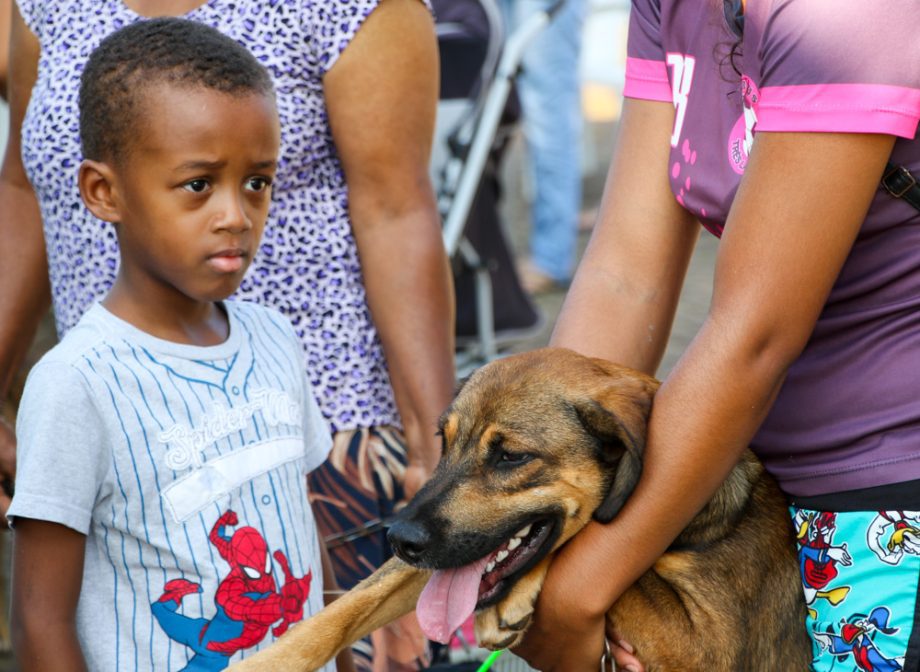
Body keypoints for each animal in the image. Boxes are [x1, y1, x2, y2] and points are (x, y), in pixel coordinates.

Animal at [232, 350, 812, 668]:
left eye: (509, 456)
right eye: (444, 442)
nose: (400, 538)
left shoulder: (707, 646)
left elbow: (602, 556)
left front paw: (508, 605)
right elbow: (350, 605)